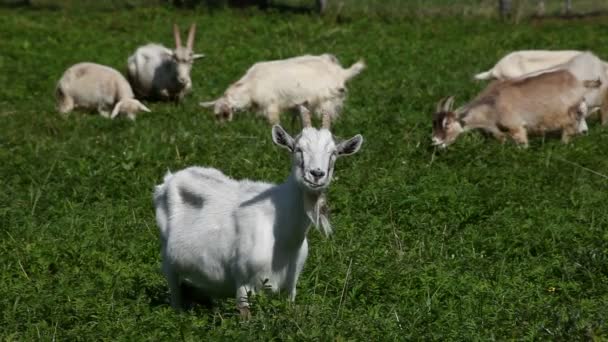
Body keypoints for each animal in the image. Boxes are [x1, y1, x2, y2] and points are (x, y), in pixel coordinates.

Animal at [154, 105, 364, 316]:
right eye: (298, 149)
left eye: (334, 153)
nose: (316, 174)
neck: (283, 238)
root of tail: (169, 179)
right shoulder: (243, 284)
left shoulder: (290, 288)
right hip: (168, 264)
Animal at [198, 54, 366, 125]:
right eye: (215, 115)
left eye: (224, 114)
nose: (220, 127)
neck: (251, 85)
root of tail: (341, 72)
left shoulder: (271, 105)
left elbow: (274, 123)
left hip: (327, 101)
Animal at [432, 69, 600, 148]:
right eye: (434, 123)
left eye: (447, 124)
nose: (434, 141)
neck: (492, 105)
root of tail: (578, 82)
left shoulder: (517, 127)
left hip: (570, 116)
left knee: (569, 130)